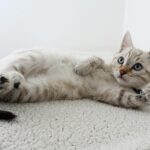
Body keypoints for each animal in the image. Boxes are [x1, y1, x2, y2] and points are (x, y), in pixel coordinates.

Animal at [0, 31, 150, 115]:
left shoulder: (109, 94)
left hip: (23, 92)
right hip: (32, 58)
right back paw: (14, 76)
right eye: (121, 60)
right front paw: (81, 68)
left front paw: (145, 95)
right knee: (7, 67)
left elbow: (129, 99)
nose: (122, 72)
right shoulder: (105, 65)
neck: (114, 79)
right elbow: (97, 59)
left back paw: (8, 81)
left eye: (137, 67)